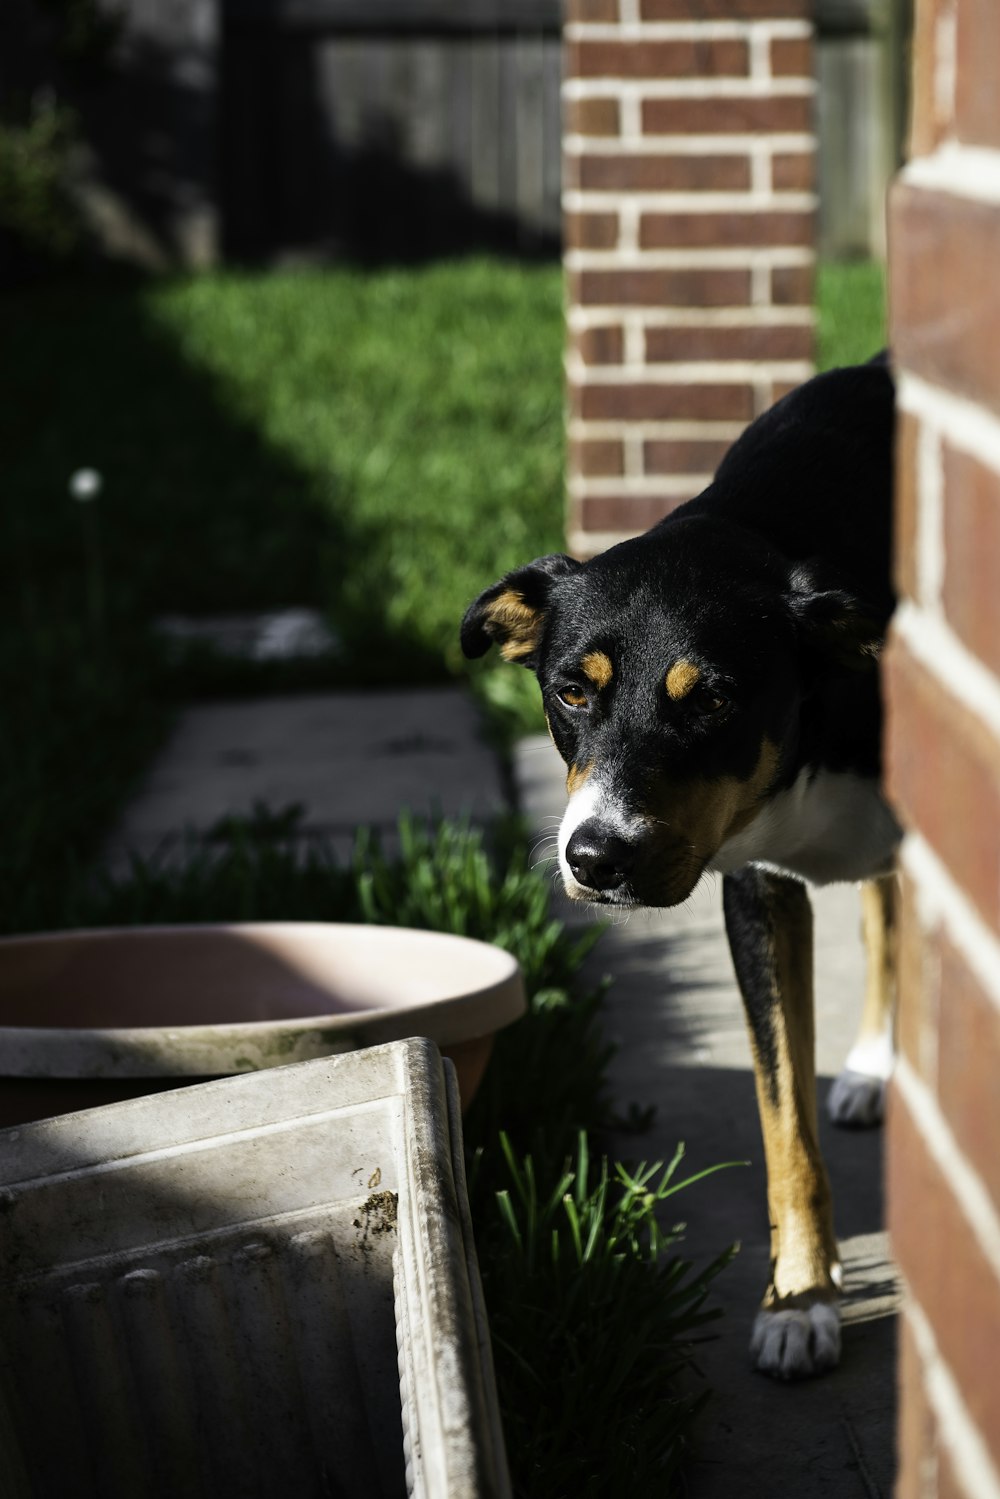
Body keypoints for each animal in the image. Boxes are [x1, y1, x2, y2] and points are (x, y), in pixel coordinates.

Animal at [461, 353, 899, 1379]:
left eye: (713, 703)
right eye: (571, 691)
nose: (595, 855)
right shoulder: (757, 893)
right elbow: (785, 1122)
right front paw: (800, 1299)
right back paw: (870, 1063)